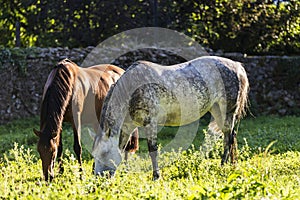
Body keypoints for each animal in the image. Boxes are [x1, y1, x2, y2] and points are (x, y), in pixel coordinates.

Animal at [91, 55, 248, 180]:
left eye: (104, 153)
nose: (98, 178)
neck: (132, 89)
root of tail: (237, 66)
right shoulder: (127, 127)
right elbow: (122, 149)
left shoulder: (151, 123)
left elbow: (152, 150)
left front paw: (156, 176)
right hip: (217, 111)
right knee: (230, 136)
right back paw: (231, 165)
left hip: (227, 112)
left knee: (228, 138)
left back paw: (223, 166)